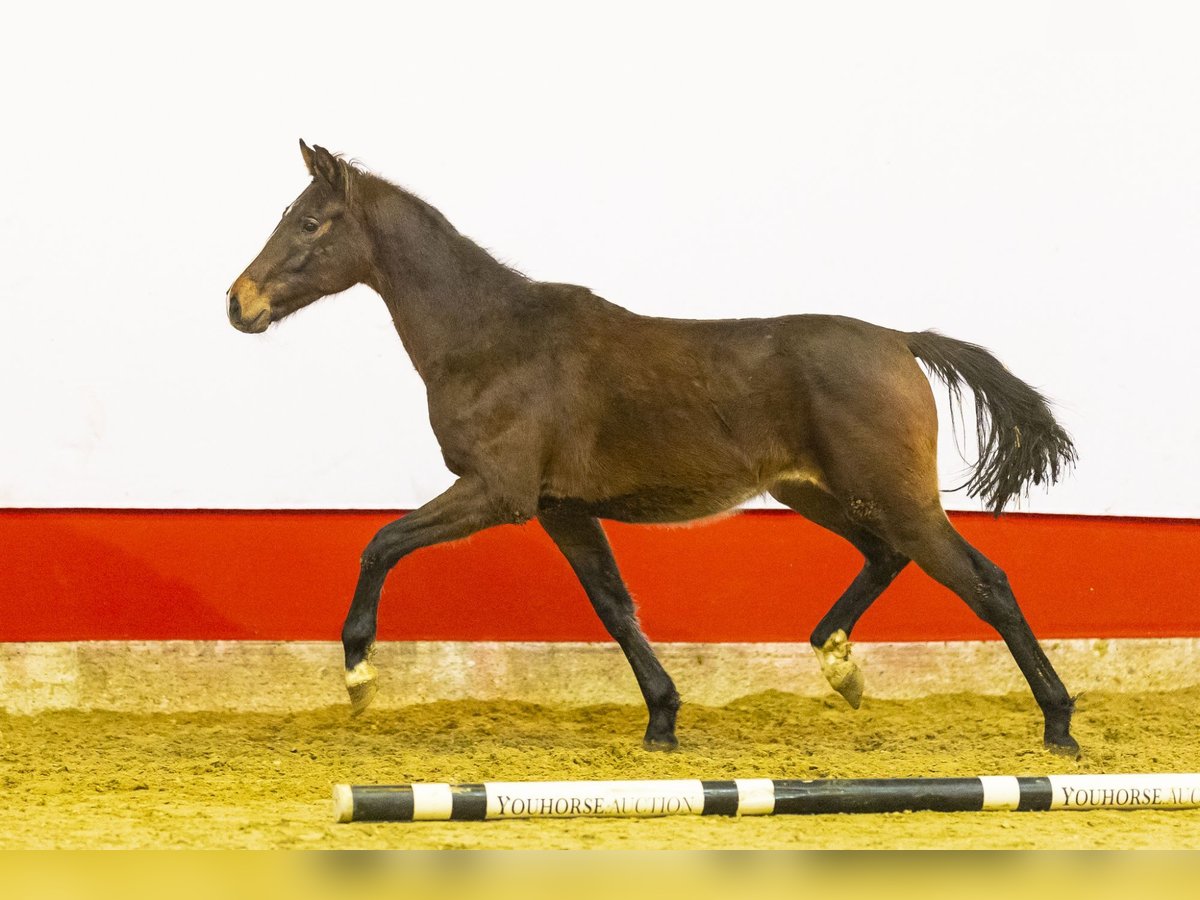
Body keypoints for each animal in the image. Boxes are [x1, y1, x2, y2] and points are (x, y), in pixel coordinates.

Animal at [229, 142, 1084, 753]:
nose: (239, 302)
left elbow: (380, 541)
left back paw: (1058, 725)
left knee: (986, 582)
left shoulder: (498, 492)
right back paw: (839, 667)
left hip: (895, 497)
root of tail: (901, 341)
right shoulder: (561, 507)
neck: (494, 340)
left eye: (309, 223)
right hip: (817, 492)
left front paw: (358, 676)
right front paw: (664, 719)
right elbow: (613, 605)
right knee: (887, 556)